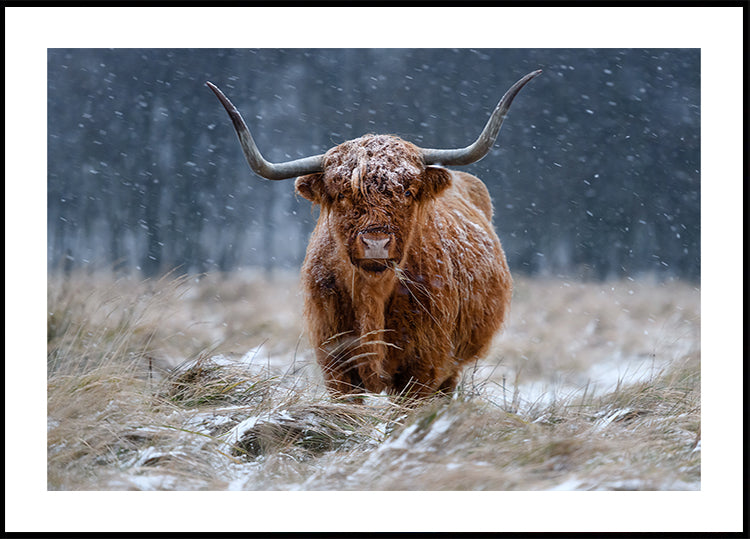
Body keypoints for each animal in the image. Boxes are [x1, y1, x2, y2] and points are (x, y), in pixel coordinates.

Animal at [207, 70, 541, 400]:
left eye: (407, 192)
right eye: (342, 194)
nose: (376, 243)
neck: (373, 295)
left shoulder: (424, 367)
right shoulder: (336, 363)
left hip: (452, 367)